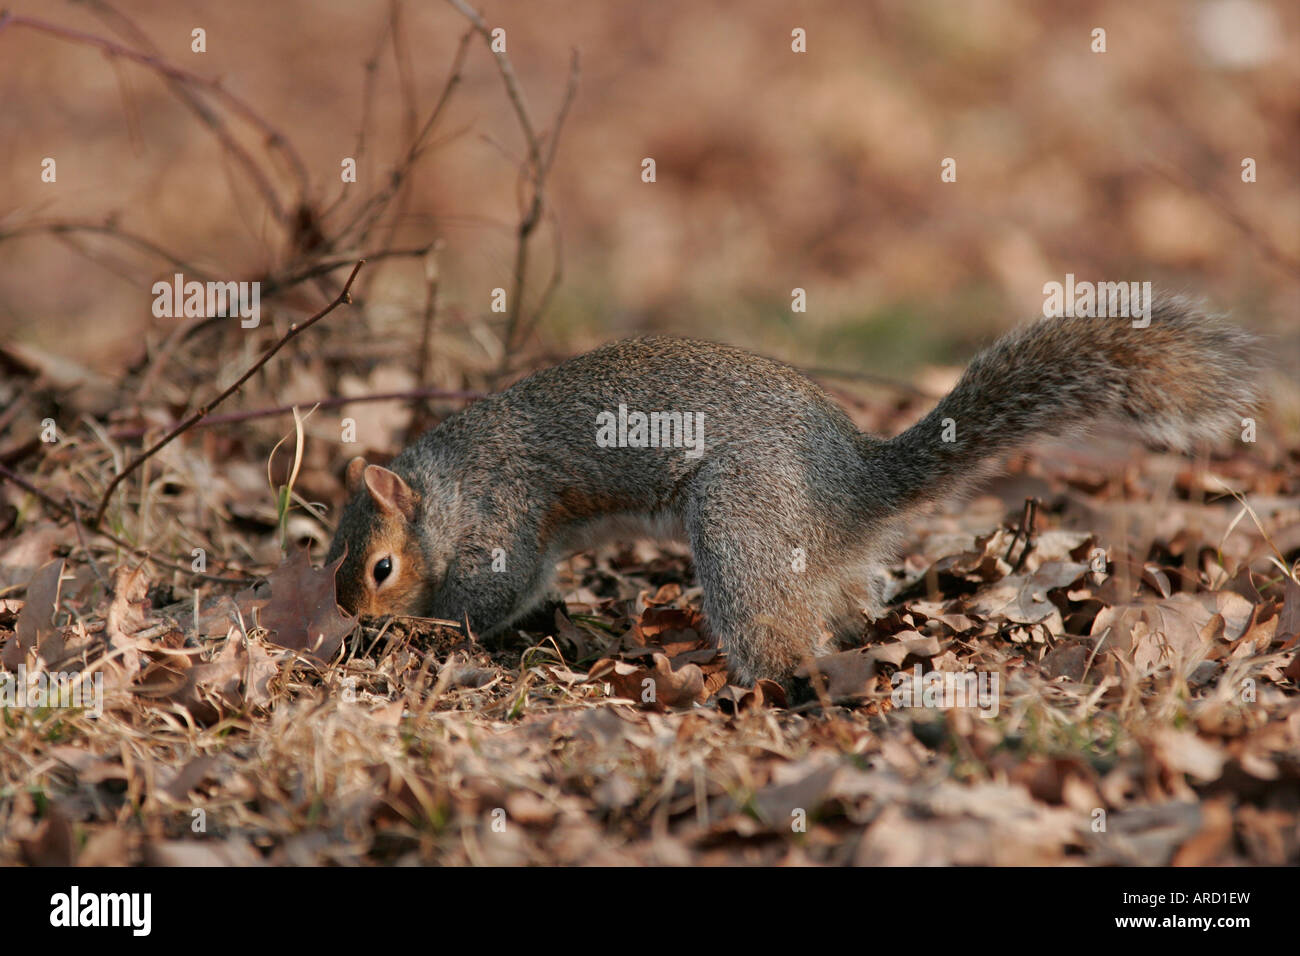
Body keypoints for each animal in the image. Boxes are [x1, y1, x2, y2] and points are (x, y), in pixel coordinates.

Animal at [326, 298, 1261, 684]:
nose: (350, 622)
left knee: (777, 633)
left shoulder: (504, 514)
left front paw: (420, 630)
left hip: (742, 517)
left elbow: (495, 592)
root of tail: (856, 481)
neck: (447, 483)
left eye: (378, 569)